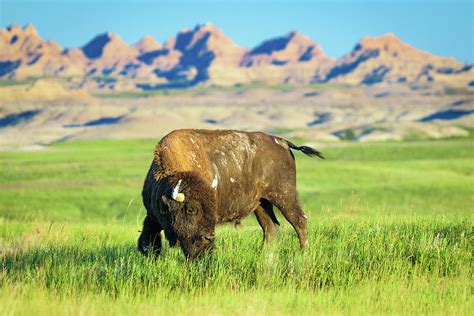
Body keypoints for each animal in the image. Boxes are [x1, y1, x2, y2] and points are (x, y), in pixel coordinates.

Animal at [136, 128, 322, 260]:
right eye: (191, 209)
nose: (208, 237)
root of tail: (282, 142)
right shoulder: (152, 217)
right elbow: (146, 242)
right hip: (261, 203)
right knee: (270, 226)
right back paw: (264, 255)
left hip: (284, 195)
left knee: (299, 220)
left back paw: (303, 252)